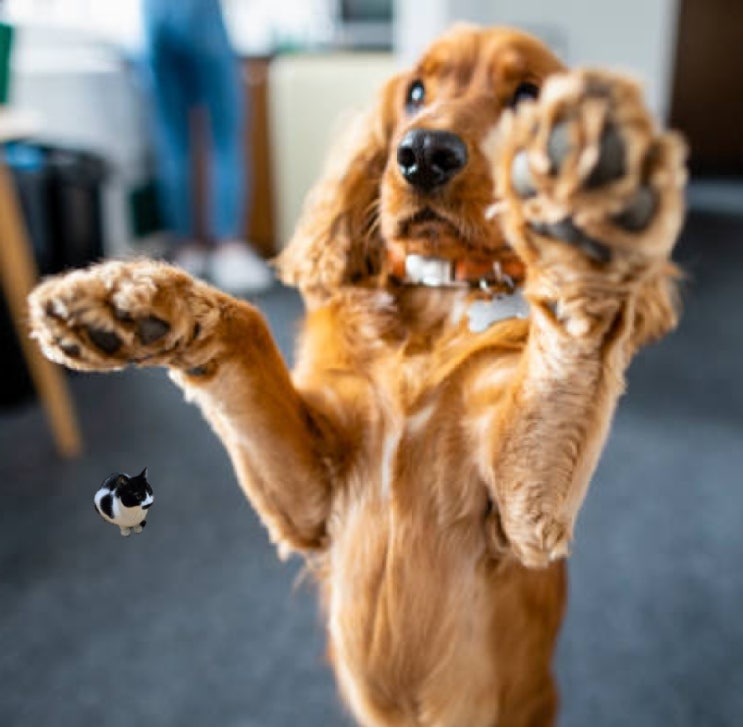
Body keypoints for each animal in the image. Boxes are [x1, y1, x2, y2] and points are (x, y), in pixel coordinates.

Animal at [28, 24, 686, 727]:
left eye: (527, 95)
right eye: (417, 91)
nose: (424, 152)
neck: (441, 300)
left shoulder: (524, 518)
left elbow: (562, 357)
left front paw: (591, 218)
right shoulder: (309, 504)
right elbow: (246, 324)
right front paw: (136, 300)